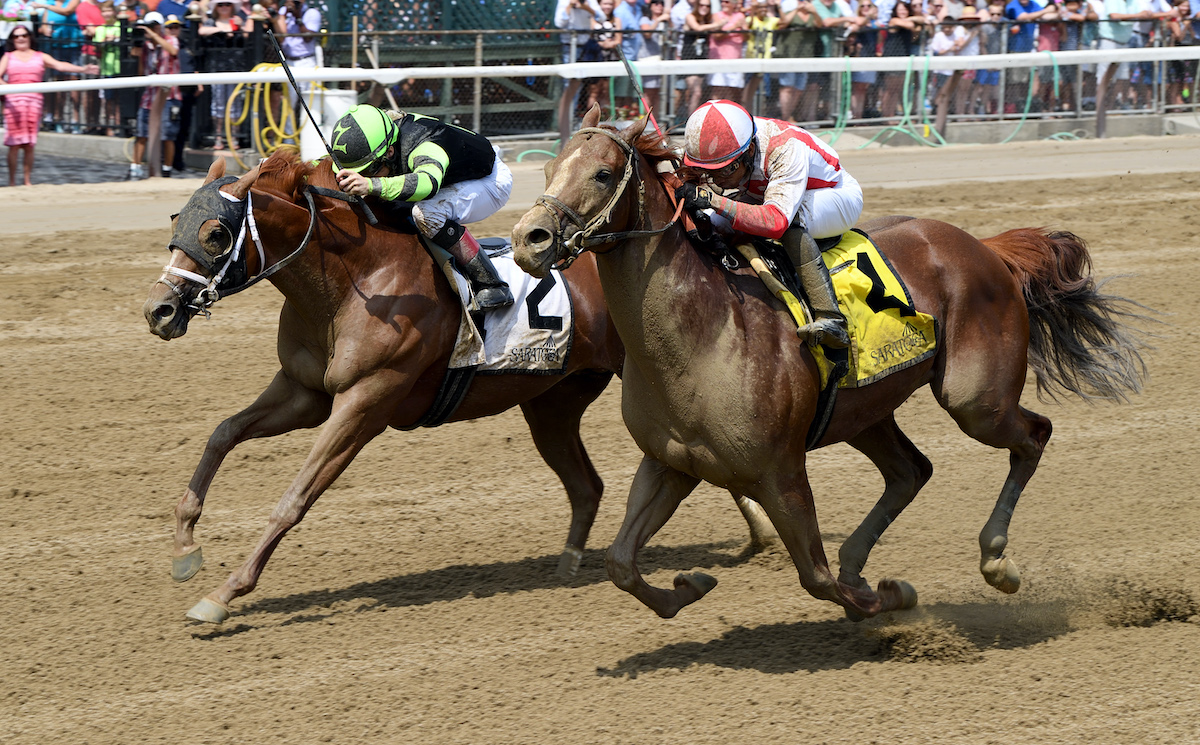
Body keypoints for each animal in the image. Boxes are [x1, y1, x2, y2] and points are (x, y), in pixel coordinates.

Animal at [140, 151, 638, 623]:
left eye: (215, 233)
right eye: (175, 222)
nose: (158, 310)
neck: (356, 279)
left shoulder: (365, 404)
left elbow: (294, 499)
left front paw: (223, 594)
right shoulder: (305, 393)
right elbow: (223, 433)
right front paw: (184, 549)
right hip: (553, 404)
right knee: (586, 486)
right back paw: (570, 565)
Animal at [511, 107, 1147, 623]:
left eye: (600, 174)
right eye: (547, 172)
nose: (528, 239)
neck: (705, 335)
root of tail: (986, 248)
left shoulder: (781, 471)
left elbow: (815, 579)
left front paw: (892, 596)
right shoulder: (671, 463)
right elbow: (621, 562)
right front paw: (690, 586)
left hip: (975, 400)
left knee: (1032, 435)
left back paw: (996, 562)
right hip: (863, 411)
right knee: (911, 471)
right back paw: (862, 557)